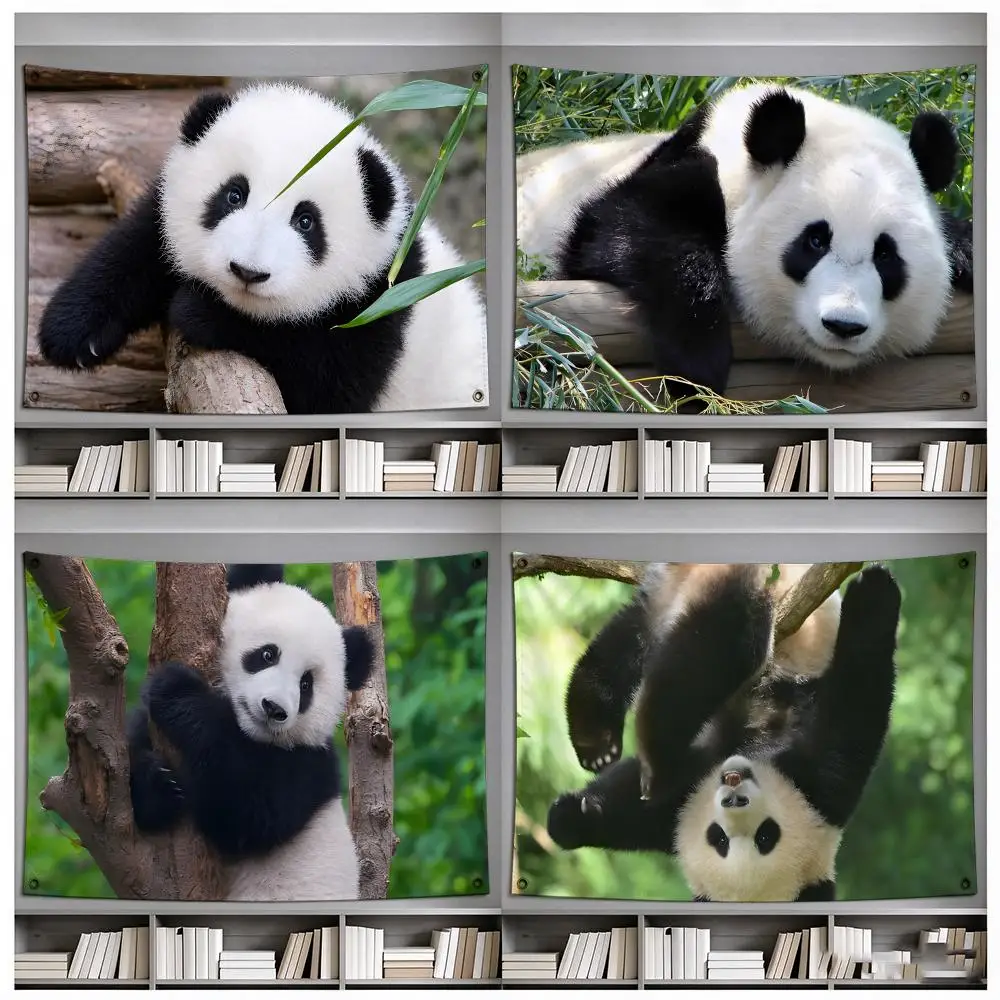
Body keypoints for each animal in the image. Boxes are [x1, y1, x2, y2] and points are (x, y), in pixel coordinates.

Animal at [38, 82, 487, 414]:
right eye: (234, 195)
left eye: (306, 221)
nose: (247, 272)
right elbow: (138, 245)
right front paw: (72, 332)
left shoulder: (384, 299)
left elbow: (323, 381)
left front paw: (200, 312)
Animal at [128, 563, 374, 900]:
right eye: (268, 654)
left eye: (306, 684)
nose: (273, 708)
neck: (246, 734)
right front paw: (158, 786)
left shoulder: (308, 766)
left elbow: (247, 815)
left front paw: (177, 690)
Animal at [547, 562, 900, 902]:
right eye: (721, 837)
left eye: (763, 836)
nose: (733, 787)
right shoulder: (818, 782)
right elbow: (853, 715)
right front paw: (875, 599)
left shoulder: (694, 791)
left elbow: (638, 810)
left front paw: (574, 818)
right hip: (757, 587)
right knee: (720, 644)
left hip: (670, 600)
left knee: (633, 638)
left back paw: (597, 734)